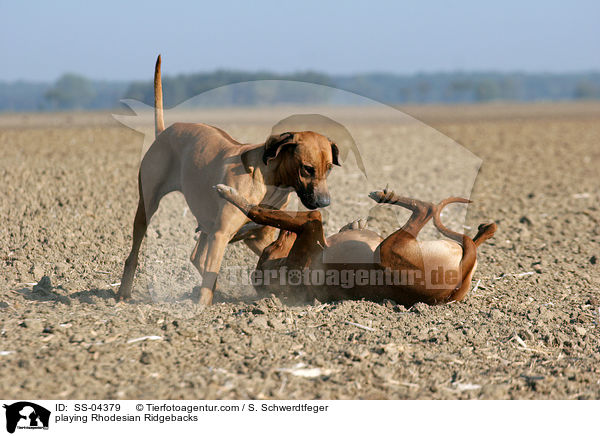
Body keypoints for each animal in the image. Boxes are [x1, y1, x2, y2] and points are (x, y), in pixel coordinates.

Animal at [118, 56, 342, 304]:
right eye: (307, 169)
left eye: (329, 169)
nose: (324, 203)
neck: (271, 183)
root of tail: (165, 132)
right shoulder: (222, 234)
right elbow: (209, 274)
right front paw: (201, 306)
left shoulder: (258, 238)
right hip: (147, 206)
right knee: (136, 252)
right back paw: (123, 292)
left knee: (197, 256)